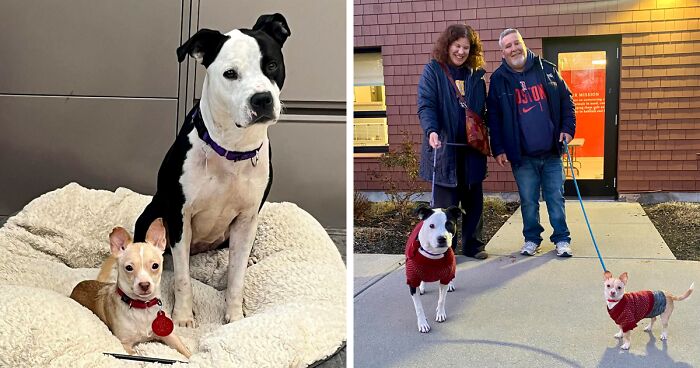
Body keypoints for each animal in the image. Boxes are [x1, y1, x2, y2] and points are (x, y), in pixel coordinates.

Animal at [134, 12, 290, 326]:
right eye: (230, 73)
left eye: (271, 65)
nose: (262, 99)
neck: (231, 149)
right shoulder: (179, 216)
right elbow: (183, 278)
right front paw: (183, 317)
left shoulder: (246, 219)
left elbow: (237, 277)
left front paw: (234, 315)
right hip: (154, 213)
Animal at [408, 204, 462, 334]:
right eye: (431, 225)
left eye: (449, 224)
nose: (442, 238)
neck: (433, 254)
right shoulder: (412, 281)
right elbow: (419, 307)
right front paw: (422, 323)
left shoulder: (445, 277)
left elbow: (441, 299)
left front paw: (440, 313)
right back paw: (422, 287)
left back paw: (450, 284)